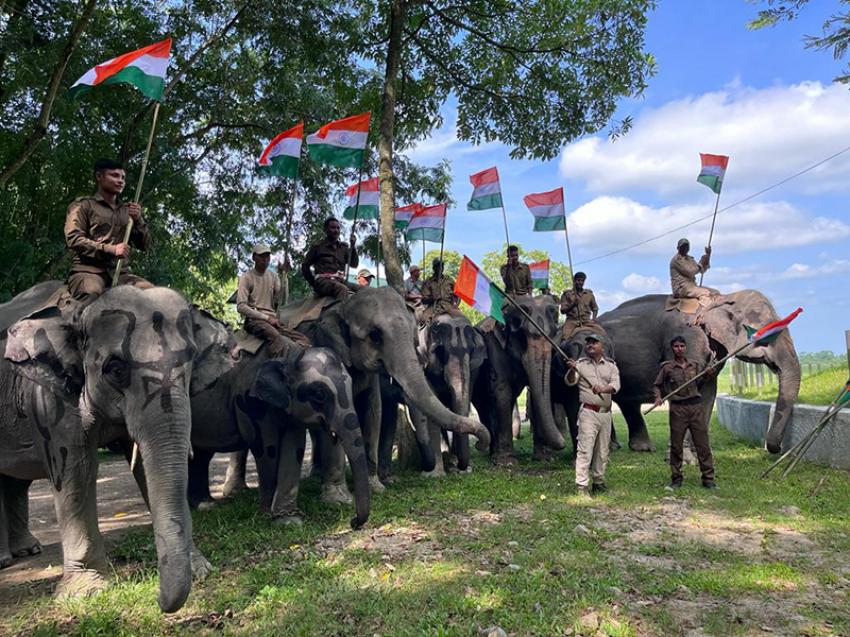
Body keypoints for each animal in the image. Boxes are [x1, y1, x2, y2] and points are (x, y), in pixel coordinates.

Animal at [2, 284, 200, 612]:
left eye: (192, 361)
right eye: (115, 369)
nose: (157, 599)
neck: (82, 309)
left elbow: (146, 467)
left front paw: (200, 568)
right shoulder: (48, 399)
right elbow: (76, 468)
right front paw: (84, 592)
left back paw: (26, 551)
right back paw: (6, 559)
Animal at [185, 308, 369, 528]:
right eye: (319, 394)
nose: (353, 522)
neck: (290, 354)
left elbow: (294, 448)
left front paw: (288, 519)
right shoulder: (250, 401)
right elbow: (266, 448)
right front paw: (267, 514)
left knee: (201, 455)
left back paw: (204, 505)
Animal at [472, 295, 566, 464]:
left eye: (554, 336)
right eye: (522, 336)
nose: (563, 443)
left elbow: (535, 394)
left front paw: (545, 458)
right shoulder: (494, 346)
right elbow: (501, 390)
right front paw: (506, 462)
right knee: (485, 407)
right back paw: (492, 454)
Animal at [557, 291, 801, 454]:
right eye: (769, 332)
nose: (775, 449)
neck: (719, 298)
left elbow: (707, 392)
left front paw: (697, 449)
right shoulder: (689, 339)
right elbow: (682, 386)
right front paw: (682, 451)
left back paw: (633, 447)